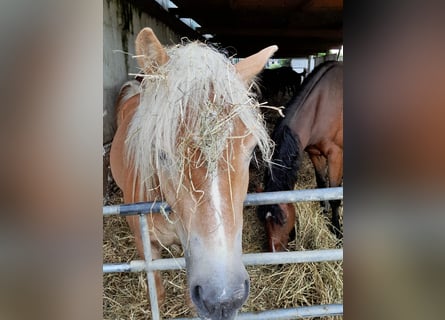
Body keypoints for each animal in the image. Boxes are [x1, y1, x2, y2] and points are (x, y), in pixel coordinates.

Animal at [255, 61, 342, 252]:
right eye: (263, 221)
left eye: (284, 220)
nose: (274, 253)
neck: (321, 106)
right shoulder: (314, 153)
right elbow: (322, 183)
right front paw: (324, 214)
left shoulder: (335, 155)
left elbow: (334, 196)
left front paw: (337, 232)